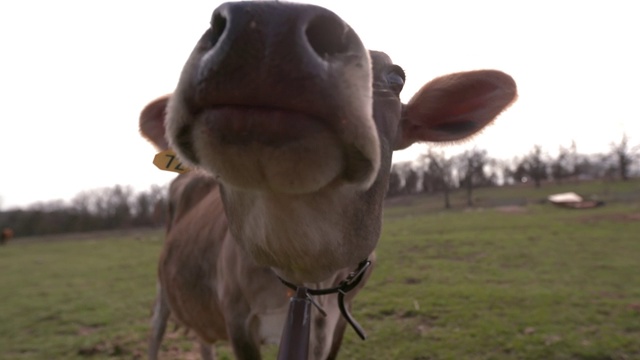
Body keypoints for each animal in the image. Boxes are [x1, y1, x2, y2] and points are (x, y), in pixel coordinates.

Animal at [139, 1, 516, 358]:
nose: (271, 23)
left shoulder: (338, 322)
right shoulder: (238, 319)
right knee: (156, 329)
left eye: (396, 78)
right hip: (162, 286)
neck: (306, 274)